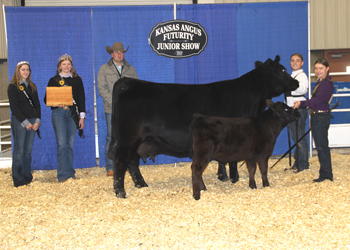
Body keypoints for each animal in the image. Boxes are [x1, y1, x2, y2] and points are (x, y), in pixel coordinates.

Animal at [107, 55, 298, 198]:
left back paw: (141, 184)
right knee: (121, 161)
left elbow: (223, 160)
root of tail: (128, 82)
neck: (252, 97)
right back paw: (121, 192)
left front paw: (222, 177)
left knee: (132, 161)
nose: (296, 83)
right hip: (128, 138)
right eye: (282, 69)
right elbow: (233, 160)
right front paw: (233, 178)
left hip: (137, 140)